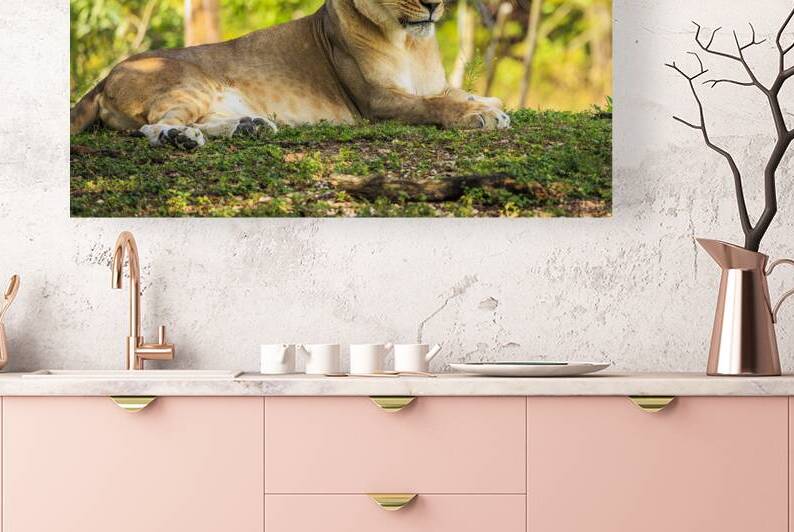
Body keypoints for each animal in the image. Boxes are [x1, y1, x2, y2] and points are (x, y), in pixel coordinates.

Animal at [70, 0, 510, 149]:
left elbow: (451, 93)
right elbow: (433, 105)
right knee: (154, 126)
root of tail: (106, 77)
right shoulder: (374, 102)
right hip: (191, 84)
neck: (410, 43)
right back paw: (180, 138)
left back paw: (251, 126)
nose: (433, 4)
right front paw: (481, 116)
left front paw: (491, 104)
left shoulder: (434, 83)